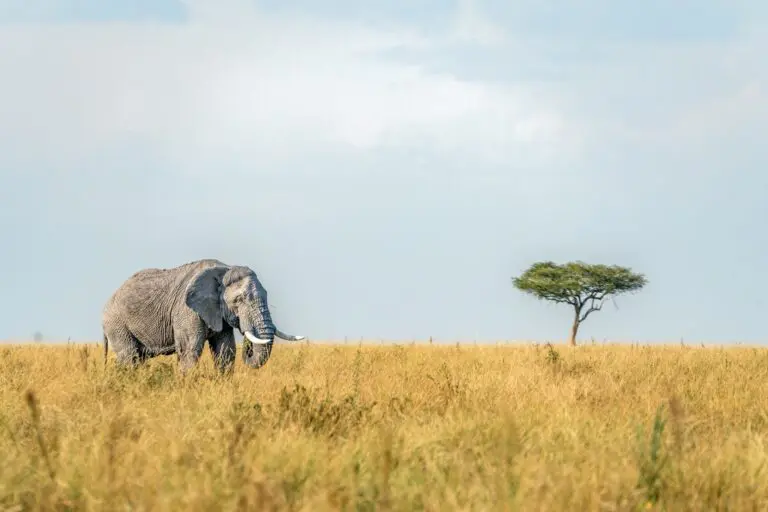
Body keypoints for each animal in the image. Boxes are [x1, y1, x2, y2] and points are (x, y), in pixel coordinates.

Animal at [101, 258, 304, 374]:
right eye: (239, 299)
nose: (248, 347)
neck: (224, 270)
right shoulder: (186, 311)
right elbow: (190, 349)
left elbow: (225, 351)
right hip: (116, 323)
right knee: (129, 358)